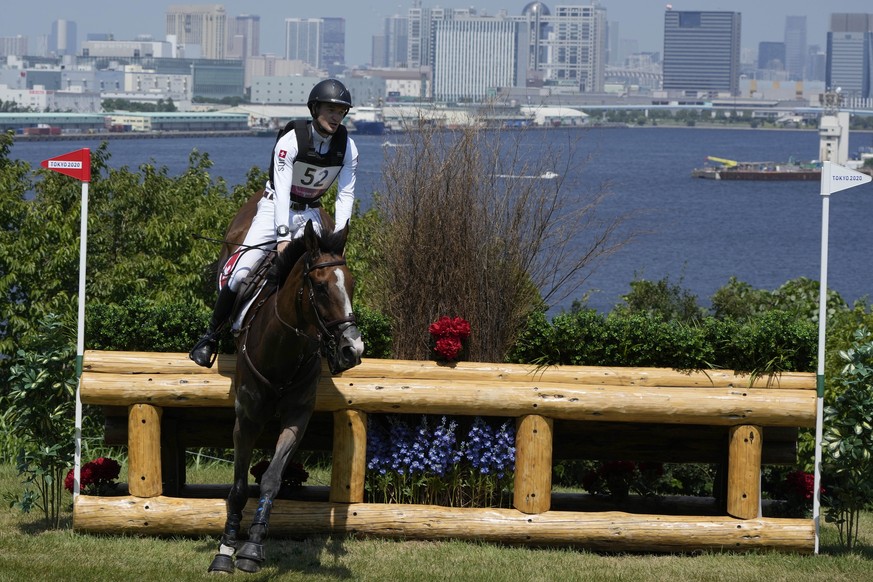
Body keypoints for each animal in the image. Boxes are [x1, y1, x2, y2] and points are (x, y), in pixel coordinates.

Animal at [209, 193, 364, 576]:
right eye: (320, 287)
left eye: (352, 285)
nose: (352, 349)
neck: (281, 347)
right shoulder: (246, 419)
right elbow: (238, 486)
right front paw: (225, 550)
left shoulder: (297, 417)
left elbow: (272, 479)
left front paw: (252, 547)